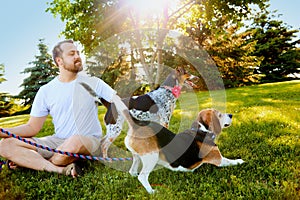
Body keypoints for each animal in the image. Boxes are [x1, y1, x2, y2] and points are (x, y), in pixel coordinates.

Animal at [114, 103, 244, 194]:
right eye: (219, 115)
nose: (231, 115)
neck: (202, 130)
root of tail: (136, 124)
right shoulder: (219, 160)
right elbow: (231, 161)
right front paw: (240, 161)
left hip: (137, 156)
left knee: (132, 171)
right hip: (152, 156)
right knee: (142, 177)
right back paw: (152, 192)